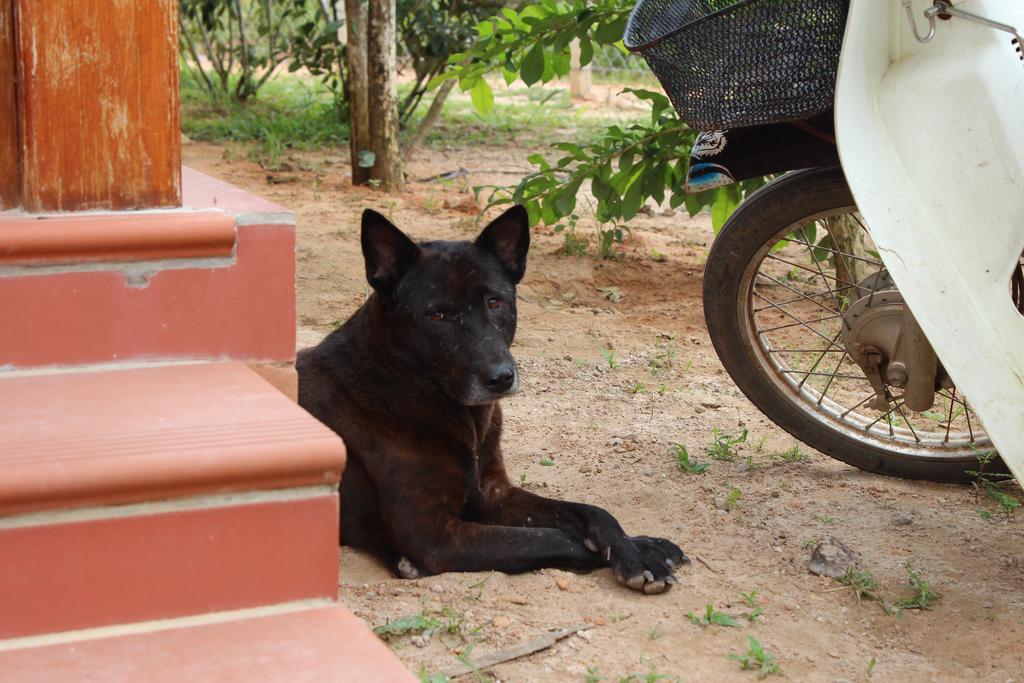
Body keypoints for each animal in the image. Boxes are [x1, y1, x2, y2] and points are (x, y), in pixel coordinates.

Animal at [299, 206, 692, 593]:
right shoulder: (434, 536)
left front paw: (639, 547)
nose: (501, 378)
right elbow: (553, 538)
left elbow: (591, 511)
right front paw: (636, 555)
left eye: (495, 301)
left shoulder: (493, 493)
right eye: (436, 314)